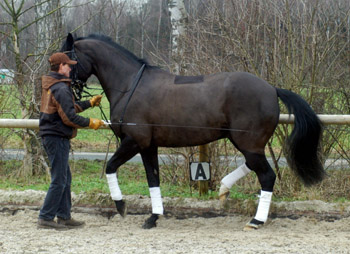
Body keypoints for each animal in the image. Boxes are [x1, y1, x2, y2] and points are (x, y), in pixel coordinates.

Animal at [62, 33, 326, 230]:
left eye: (67, 58)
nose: (65, 86)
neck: (130, 86)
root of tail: (272, 89)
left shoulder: (134, 141)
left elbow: (110, 167)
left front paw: (121, 206)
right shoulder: (149, 146)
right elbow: (153, 178)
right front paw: (153, 217)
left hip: (248, 143)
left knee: (267, 176)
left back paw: (256, 220)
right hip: (247, 143)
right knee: (253, 167)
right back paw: (224, 188)